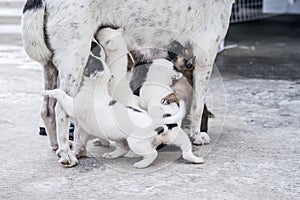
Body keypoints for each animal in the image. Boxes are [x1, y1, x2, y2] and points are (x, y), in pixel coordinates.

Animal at [44, 59, 204, 167]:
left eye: (91, 61)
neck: (96, 88)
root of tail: (158, 122)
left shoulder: (73, 106)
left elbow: (62, 95)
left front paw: (51, 92)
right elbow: (81, 138)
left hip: (136, 142)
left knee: (152, 153)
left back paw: (141, 164)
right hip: (173, 138)